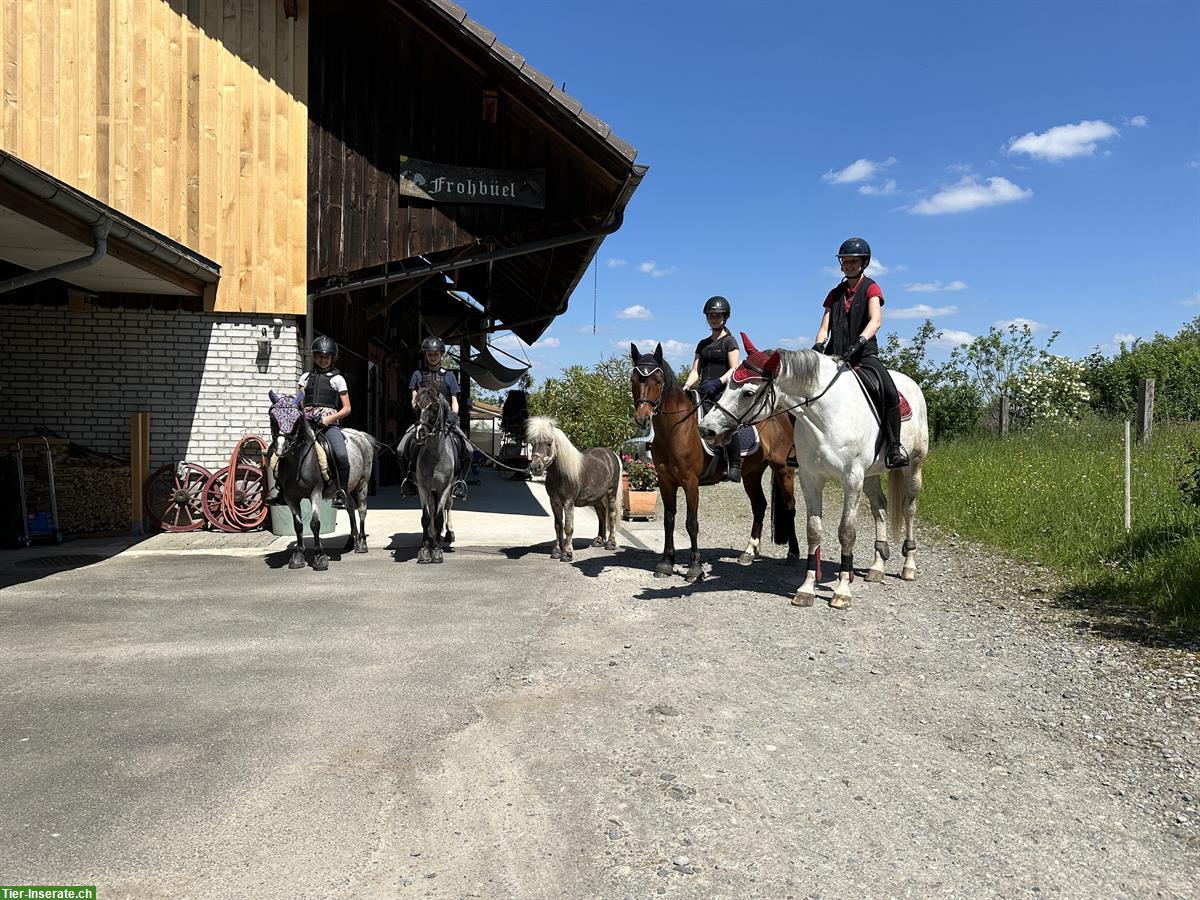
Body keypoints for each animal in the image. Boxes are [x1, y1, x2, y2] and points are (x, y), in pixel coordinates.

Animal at [268, 388, 372, 571]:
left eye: (297, 420)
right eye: (273, 418)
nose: (281, 448)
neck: (299, 463)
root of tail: (361, 436)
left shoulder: (315, 493)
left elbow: (315, 523)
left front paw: (319, 557)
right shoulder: (290, 497)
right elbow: (298, 525)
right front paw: (298, 556)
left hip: (362, 484)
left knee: (361, 510)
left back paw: (362, 544)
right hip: (347, 488)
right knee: (350, 508)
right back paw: (352, 541)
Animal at [530, 417, 624, 564]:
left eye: (549, 443)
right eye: (532, 443)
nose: (535, 467)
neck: (560, 474)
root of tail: (611, 454)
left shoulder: (569, 502)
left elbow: (568, 528)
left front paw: (567, 554)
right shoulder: (554, 502)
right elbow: (558, 525)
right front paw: (556, 552)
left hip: (611, 493)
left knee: (612, 515)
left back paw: (610, 543)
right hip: (596, 498)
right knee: (601, 514)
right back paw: (599, 541)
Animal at [628, 340, 796, 585]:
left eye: (657, 380)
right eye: (633, 379)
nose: (642, 418)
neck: (675, 429)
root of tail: (781, 415)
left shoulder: (690, 482)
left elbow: (691, 523)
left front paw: (695, 568)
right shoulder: (666, 481)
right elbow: (669, 520)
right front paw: (666, 563)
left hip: (783, 469)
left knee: (791, 507)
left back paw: (793, 554)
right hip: (752, 473)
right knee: (759, 506)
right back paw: (748, 552)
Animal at [700, 336, 931, 609]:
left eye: (748, 392)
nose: (706, 429)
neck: (827, 415)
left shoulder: (852, 479)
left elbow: (846, 532)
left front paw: (842, 591)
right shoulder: (811, 479)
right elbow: (813, 531)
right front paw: (807, 589)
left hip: (913, 467)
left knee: (909, 509)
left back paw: (909, 566)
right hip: (871, 475)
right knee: (880, 508)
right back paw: (877, 566)